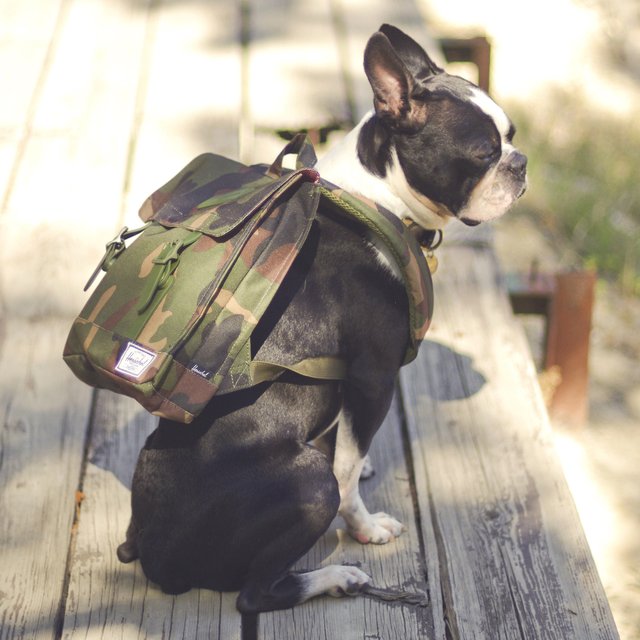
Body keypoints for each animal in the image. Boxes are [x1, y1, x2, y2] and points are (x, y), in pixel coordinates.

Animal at [117, 23, 528, 616]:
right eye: (483, 153)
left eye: (512, 136)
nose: (521, 164)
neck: (384, 201)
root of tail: (154, 553)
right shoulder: (374, 377)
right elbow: (348, 472)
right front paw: (365, 525)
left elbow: (353, 450)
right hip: (308, 487)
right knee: (255, 593)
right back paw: (337, 575)